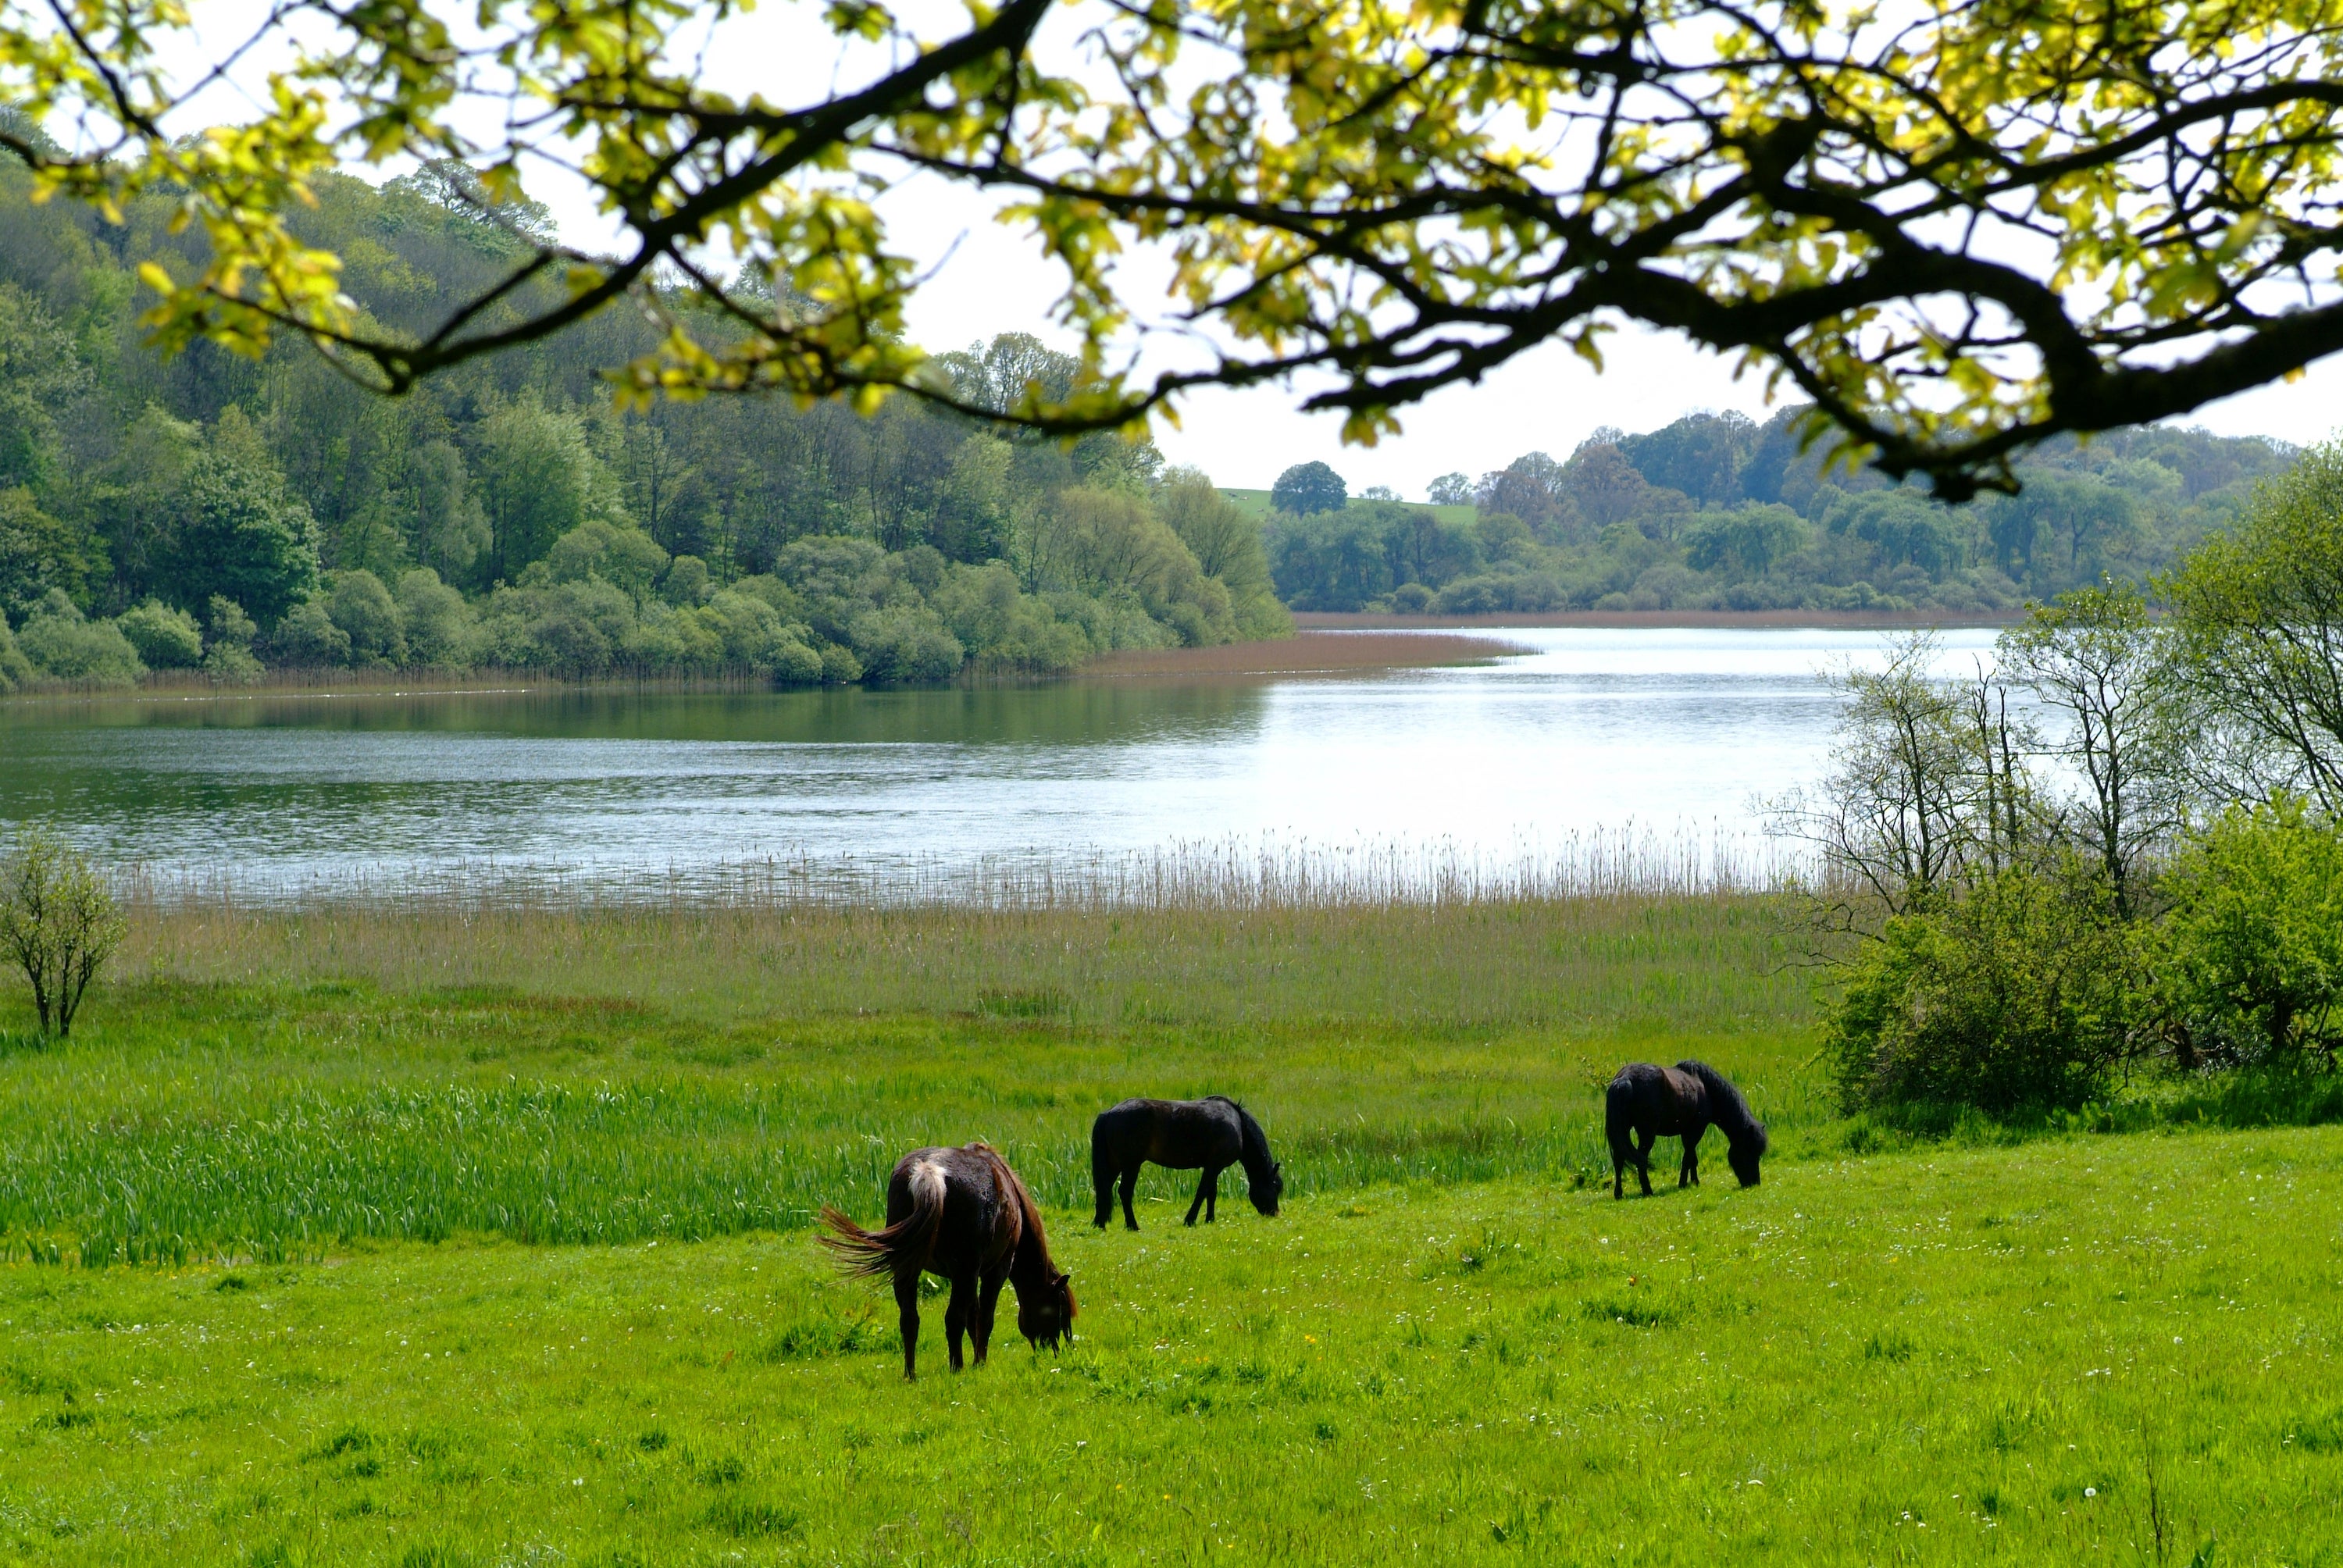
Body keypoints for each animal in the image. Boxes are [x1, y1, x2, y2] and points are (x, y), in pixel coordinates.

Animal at [818, 1142, 1075, 1380]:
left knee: (910, 1320)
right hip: (965, 1272)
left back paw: (911, 1373)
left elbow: (973, 1317)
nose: (1058, 1350)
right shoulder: (992, 1271)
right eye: (1059, 1309)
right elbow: (983, 1318)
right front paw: (979, 1363)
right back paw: (957, 1367)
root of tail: (929, 1171)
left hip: (910, 1270)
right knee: (953, 1319)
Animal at [1091, 1096, 1283, 1231]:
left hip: (1114, 1165)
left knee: (1104, 1190)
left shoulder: (1213, 1166)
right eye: (1275, 1187)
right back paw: (1132, 1225)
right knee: (1124, 1192)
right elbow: (1202, 1192)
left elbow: (1211, 1193)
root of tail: (1108, 1114)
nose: (1275, 1213)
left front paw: (1210, 1219)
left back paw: (1100, 1223)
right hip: (1131, 1165)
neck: (1238, 1124)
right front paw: (1190, 1220)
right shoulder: (1214, 1166)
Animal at [1605, 1061, 1768, 1199]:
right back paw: (1648, 1191)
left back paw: (1618, 1194)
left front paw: (1695, 1181)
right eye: (1749, 1151)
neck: (1707, 1088)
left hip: (1623, 1132)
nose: (1754, 1183)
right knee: (1641, 1160)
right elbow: (1688, 1158)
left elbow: (1692, 1158)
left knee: (1619, 1160)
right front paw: (1683, 1183)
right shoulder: (1697, 1129)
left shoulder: (1688, 1131)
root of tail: (1624, 1079)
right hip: (1647, 1134)